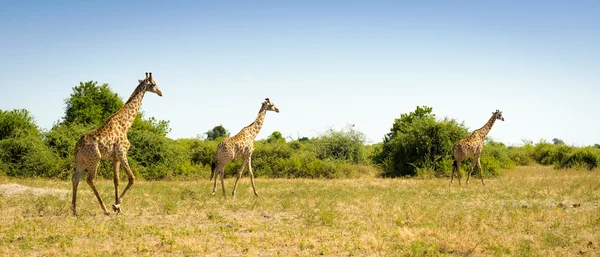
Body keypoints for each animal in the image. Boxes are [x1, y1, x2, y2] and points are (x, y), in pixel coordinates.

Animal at [71, 72, 163, 214]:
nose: (160, 92)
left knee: (75, 179)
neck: (125, 124)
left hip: (81, 161)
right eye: (154, 84)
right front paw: (116, 206)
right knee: (90, 180)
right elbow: (132, 178)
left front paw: (118, 208)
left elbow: (116, 180)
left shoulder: (115, 158)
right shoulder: (122, 152)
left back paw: (75, 211)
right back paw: (104, 210)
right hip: (94, 160)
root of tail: (77, 146)